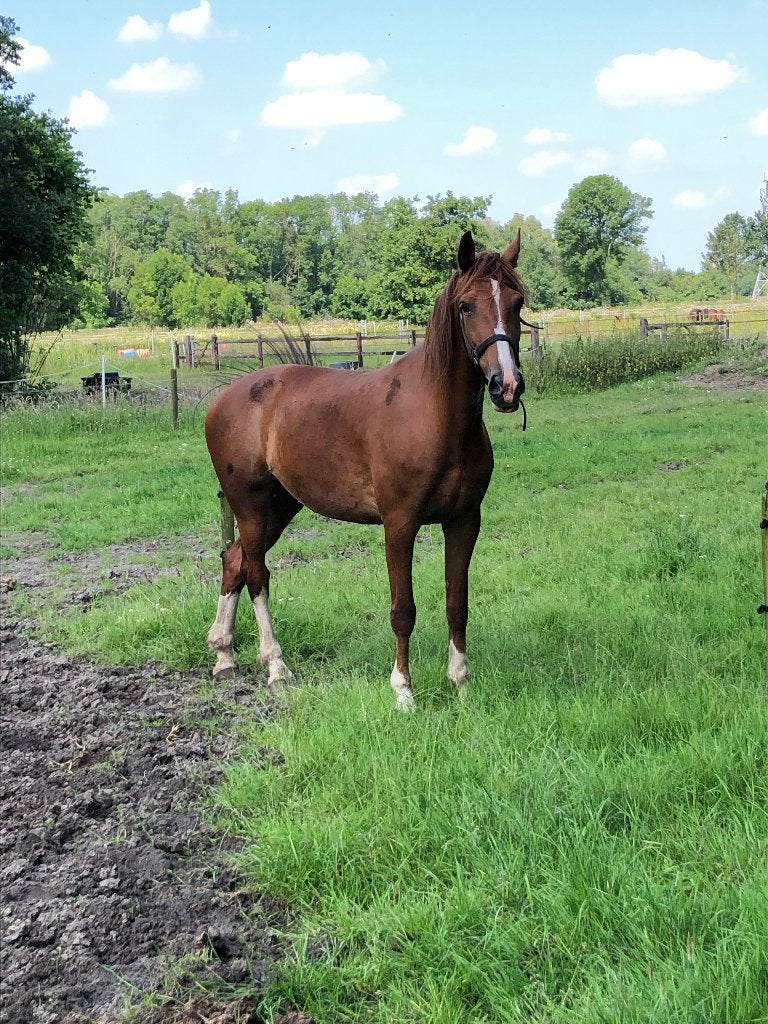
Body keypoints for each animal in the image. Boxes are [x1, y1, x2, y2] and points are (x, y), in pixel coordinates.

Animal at [204, 231, 527, 709]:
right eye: (467, 306)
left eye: (518, 302)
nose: (506, 386)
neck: (434, 416)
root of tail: (224, 399)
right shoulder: (400, 524)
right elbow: (403, 610)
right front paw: (403, 692)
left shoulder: (465, 521)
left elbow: (457, 603)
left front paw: (461, 683)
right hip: (251, 505)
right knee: (257, 574)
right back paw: (276, 667)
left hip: (281, 507)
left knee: (234, 562)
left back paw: (224, 654)